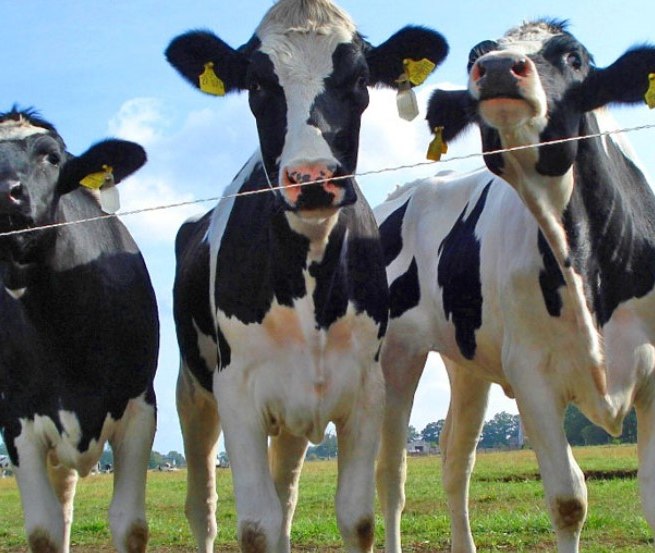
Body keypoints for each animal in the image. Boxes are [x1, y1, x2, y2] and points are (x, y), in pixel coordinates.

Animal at [0, 108, 159, 553]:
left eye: (52, 157)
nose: (5, 193)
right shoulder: (18, 420)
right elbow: (44, 530)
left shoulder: (140, 407)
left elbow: (130, 525)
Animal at [164, 1, 448, 551]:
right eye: (256, 84)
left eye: (359, 78)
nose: (312, 177)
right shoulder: (237, 393)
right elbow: (256, 525)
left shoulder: (365, 391)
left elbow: (356, 518)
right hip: (193, 392)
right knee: (202, 507)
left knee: (286, 497)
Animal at [374, 19, 655, 553]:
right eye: (475, 56)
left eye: (573, 57)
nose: (501, 66)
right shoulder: (531, 375)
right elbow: (568, 500)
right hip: (395, 356)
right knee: (391, 477)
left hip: (466, 364)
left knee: (455, 462)